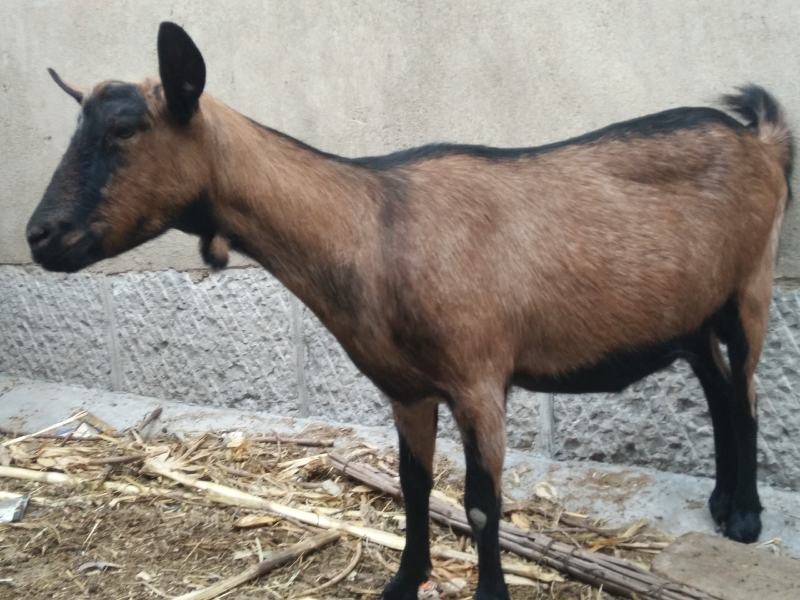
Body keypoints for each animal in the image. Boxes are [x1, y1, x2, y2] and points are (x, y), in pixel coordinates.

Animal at [27, 21, 792, 600]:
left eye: (125, 129)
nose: (40, 236)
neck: (374, 228)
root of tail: (759, 137)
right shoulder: (406, 387)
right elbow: (413, 486)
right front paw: (402, 582)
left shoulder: (480, 377)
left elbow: (481, 503)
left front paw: (489, 594)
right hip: (688, 312)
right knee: (719, 390)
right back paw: (722, 502)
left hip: (750, 284)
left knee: (748, 391)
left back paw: (748, 516)